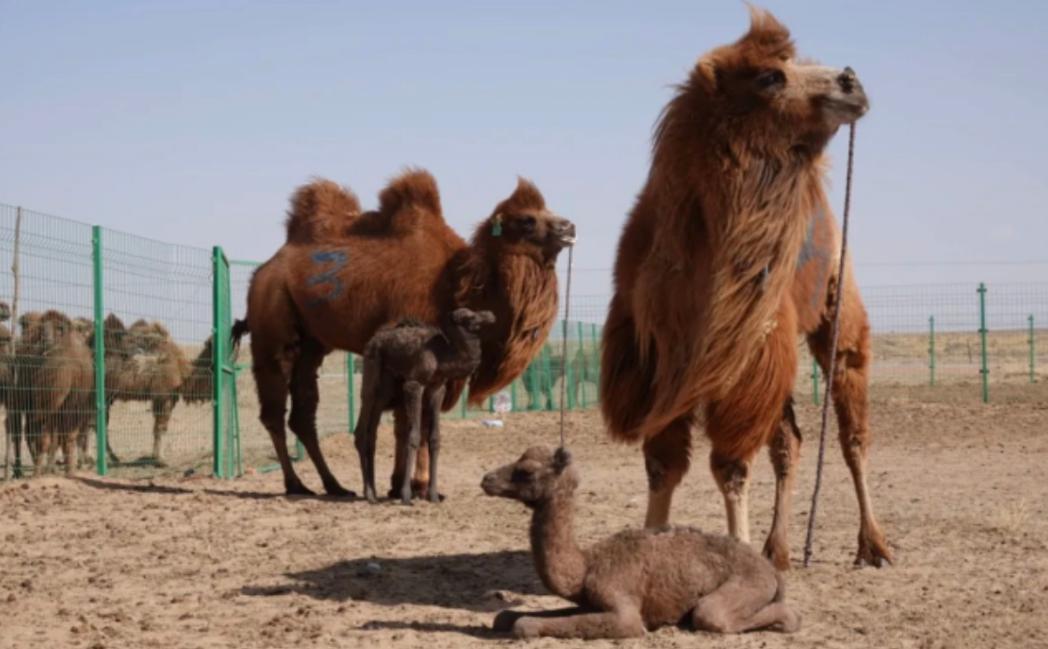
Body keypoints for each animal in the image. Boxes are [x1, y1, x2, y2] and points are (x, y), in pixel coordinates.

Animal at [356, 308, 494, 505]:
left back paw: (372, 492)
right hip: (371, 369)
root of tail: (373, 340)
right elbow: (413, 436)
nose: (490, 315)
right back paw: (369, 494)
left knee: (372, 432)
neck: (442, 355)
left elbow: (435, 438)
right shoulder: (415, 384)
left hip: (386, 389)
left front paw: (434, 495)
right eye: (468, 316)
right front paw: (406, 496)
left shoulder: (437, 387)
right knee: (362, 426)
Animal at [482, 446, 800, 641]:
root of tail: (771, 571)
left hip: (748, 586)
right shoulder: (589, 600)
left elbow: (524, 624)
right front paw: (508, 616)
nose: (487, 479)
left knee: (712, 614)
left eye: (526, 471)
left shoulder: (623, 608)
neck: (586, 566)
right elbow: (506, 617)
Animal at [599, 8, 892, 570]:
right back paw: (779, 548)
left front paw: (738, 551)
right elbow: (662, 465)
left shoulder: (745, 356)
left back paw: (874, 545)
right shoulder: (661, 358)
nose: (851, 80)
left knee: (852, 432)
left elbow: (730, 463)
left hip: (835, 311)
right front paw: (650, 545)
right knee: (791, 442)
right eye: (771, 76)